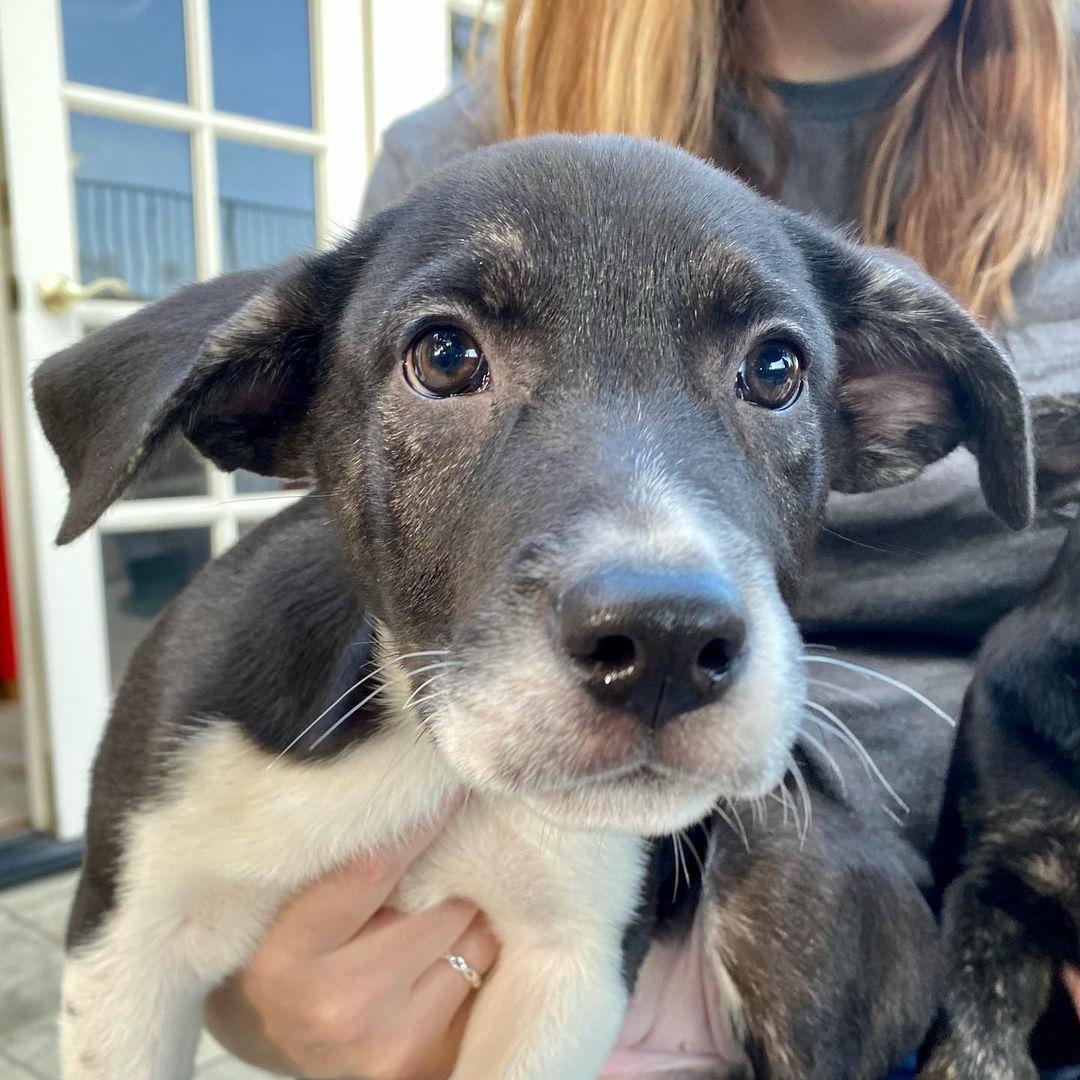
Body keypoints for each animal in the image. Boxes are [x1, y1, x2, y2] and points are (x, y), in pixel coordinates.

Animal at [31, 137, 1028, 1080]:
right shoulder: (126, 944)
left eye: (777, 368)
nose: (667, 643)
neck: (419, 748)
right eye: (443, 357)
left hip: (785, 847)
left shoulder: (569, 970)